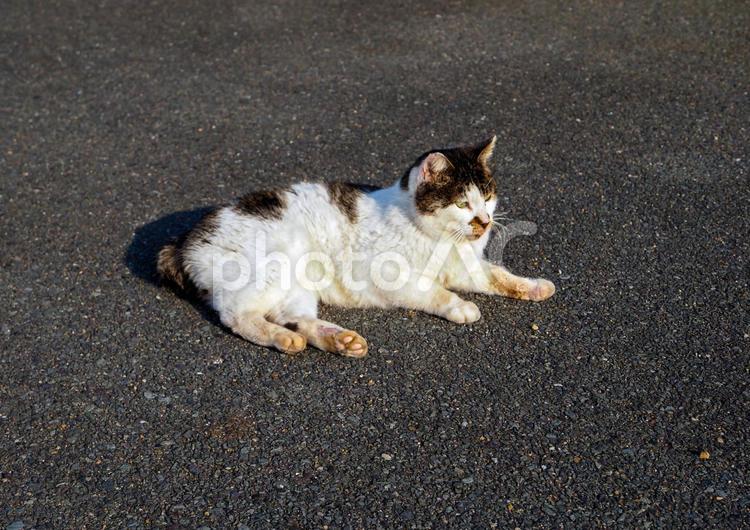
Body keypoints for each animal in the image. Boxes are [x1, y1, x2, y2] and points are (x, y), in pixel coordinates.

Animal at [157, 136, 560, 356]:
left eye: (487, 197)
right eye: (462, 203)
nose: (485, 221)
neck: (438, 237)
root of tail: (183, 240)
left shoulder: (466, 266)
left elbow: (499, 276)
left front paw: (534, 287)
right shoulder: (391, 276)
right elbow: (433, 291)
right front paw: (460, 306)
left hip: (297, 286)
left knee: (297, 319)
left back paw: (337, 340)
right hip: (272, 268)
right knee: (236, 315)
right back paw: (283, 338)